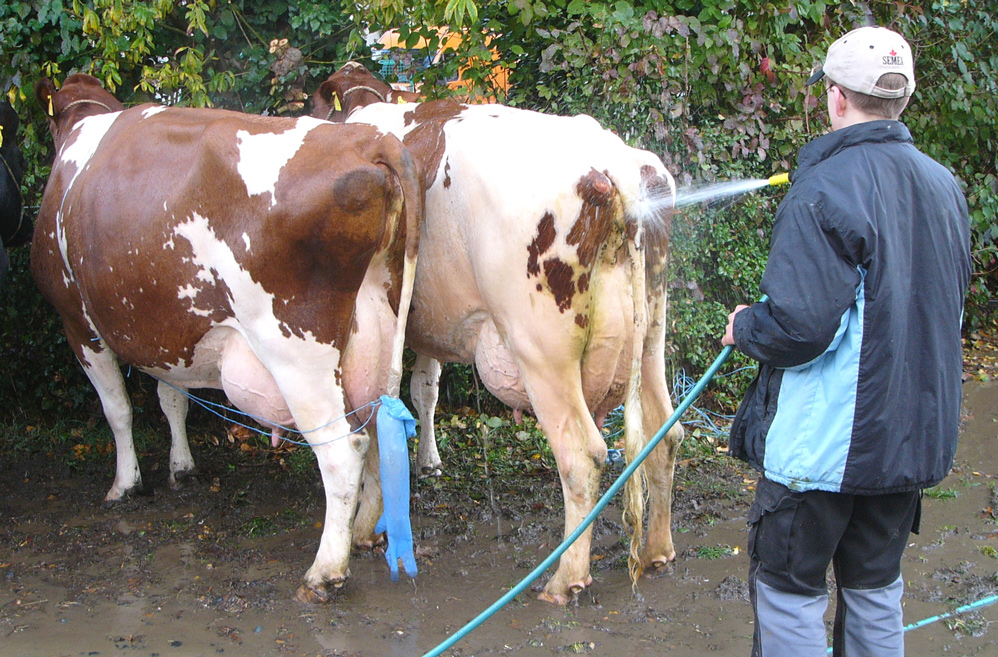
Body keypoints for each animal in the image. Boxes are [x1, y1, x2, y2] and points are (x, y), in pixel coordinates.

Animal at [32, 74, 422, 604]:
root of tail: (366, 140)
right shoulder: (168, 333)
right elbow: (171, 398)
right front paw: (181, 467)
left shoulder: (79, 323)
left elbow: (117, 409)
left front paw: (125, 484)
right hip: (380, 328)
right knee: (379, 426)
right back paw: (363, 533)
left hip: (296, 350)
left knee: (344, 451)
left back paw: (324, 572)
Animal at [314, 64, 688, 604]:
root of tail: (610, 159)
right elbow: (419, 390)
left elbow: (372, 410)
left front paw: (366, 525)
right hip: (652, 332)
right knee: (666, 430)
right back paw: (658, 549)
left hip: (542, 350)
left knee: (583, 455)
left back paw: (564, 580)